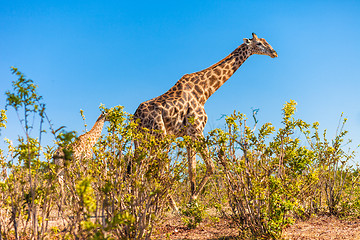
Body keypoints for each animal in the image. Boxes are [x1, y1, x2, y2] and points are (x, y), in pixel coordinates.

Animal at [134, 32, 278, 201]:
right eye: (259, 43)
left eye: (266, 41)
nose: (274, 53)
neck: (205, 91)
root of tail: (135, 118)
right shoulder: (197, 130)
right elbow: (211, 167)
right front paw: (193, 200)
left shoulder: (188, 134)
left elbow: (192, 170)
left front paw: (191, 200)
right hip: (160, 137)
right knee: (155, 171)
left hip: (142, 141)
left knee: (139, 170)